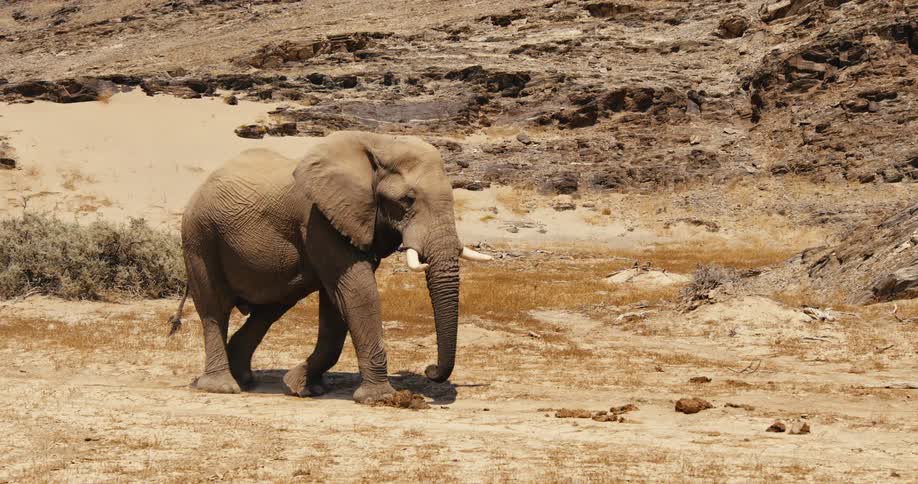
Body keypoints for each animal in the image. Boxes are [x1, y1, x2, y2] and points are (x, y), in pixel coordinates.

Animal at [167, 131, 491, 404]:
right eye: (407, 200)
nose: (429, 369)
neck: (379, 144)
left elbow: (337, 305)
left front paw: (302, 387)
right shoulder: (320, 219)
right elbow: (357, 292)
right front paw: (380, 398)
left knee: (271, 308)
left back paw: (245, 379)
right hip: (199, 236)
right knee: (215, 309)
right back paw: (222, 386)